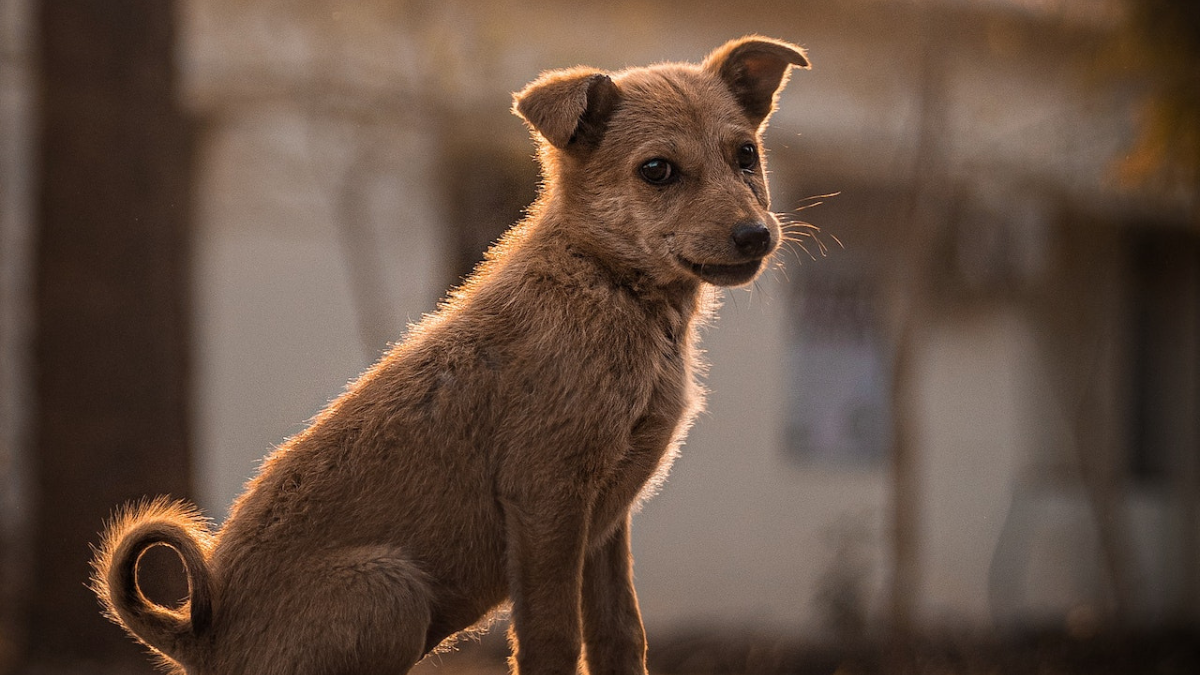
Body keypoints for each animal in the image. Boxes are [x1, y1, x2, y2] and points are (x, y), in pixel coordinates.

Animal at [91, 36, 806, 672]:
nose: (755, 235)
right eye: (657, 170)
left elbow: (620, 637)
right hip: (391, 589)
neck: (611, 289)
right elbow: (551, 640)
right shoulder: (546, 499)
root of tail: (200, 644)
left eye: (746, 155)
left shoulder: (607, 521)